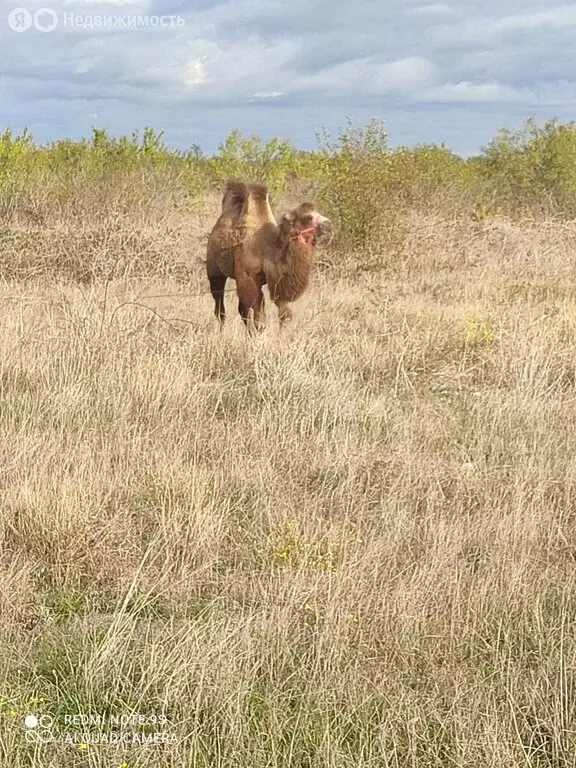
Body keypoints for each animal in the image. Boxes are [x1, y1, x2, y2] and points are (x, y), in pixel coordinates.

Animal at [206, 183, 332, 332]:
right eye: (308, 217)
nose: (329, 226)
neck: (267, 251)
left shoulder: (278, 284)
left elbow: (284, 314)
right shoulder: (248, 277)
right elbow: (258, 315)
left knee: (241, 310)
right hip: (214, 270)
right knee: (220, 306)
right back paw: (221, 331)